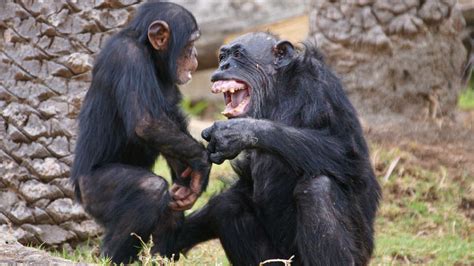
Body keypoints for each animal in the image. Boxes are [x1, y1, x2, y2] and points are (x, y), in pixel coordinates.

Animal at [70, 1, 211, 264]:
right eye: (190, 44)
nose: (196, 55)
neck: (149, 52)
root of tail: (77, 191)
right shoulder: (128, 57)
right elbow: (147, 123)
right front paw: (202, 166)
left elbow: (170, 125)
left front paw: (192, 183)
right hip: (92, 191)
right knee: (149, 190)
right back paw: (110, 258)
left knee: (170, 207)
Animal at [176, 33, 384, 266]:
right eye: (222, 56)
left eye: (238, 55)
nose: (224, 65)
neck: (277, 91)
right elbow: (244, 183)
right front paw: (175, 236)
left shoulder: (321, 89)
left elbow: (347, 152)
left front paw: (236, 133)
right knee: (226, 204)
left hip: (356, 254)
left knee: (317, 190)